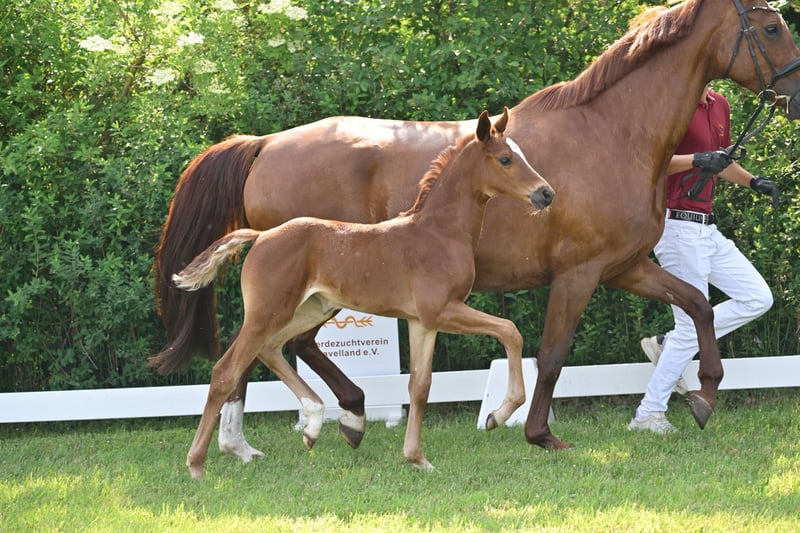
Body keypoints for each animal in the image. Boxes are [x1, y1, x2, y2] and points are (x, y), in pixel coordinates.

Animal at [172, 110, 555, 478]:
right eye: (505, 159)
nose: (546, 193)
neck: (439, 232)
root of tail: (262, 235)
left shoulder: (421, 322)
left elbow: (420, 386)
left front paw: (417, 458)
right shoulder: (442, 310)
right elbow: (510, 331)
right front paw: (497, 416)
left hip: (309, 310)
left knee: (271, 349)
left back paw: (314, 424)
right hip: (269, 312)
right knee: (226, 371)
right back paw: (197, 463)